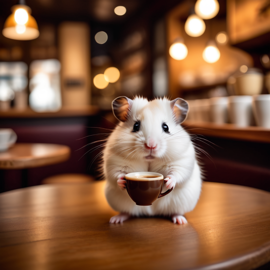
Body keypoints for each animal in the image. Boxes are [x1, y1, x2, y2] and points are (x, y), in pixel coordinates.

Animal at [102, 96, 201, 225]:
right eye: (136, 126)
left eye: (166, 127)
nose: (151, 145)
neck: (149, 159)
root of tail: (151, 213)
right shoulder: (115, 161)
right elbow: (117, 175)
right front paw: (122, 182)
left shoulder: (181, 161)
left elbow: (176, 174)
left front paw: (168, 182)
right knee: (127, 212)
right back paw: (116, 220)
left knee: (176, 212)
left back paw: (180, 221)